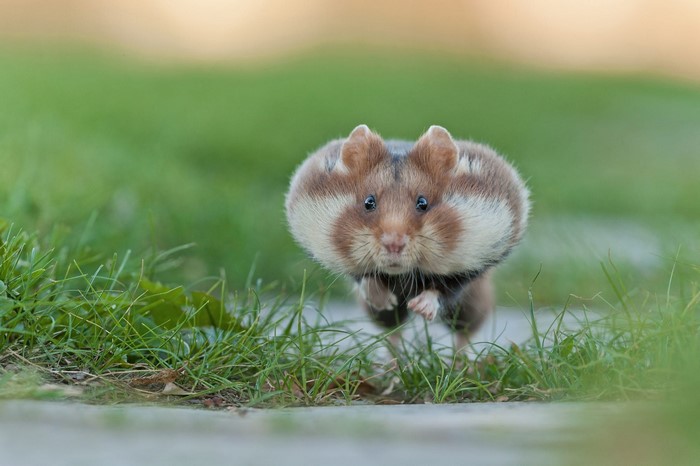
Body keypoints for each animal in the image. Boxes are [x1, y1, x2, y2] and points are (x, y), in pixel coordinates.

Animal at [285, 124, 530, 343]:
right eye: (368, 202)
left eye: (423, 202)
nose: (394, 244)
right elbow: (365, 278)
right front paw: (385, 300)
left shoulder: (471, 266)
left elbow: (443, 289)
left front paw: (420, 308)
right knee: (393, 330)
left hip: (473, 301)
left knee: (465, 332)